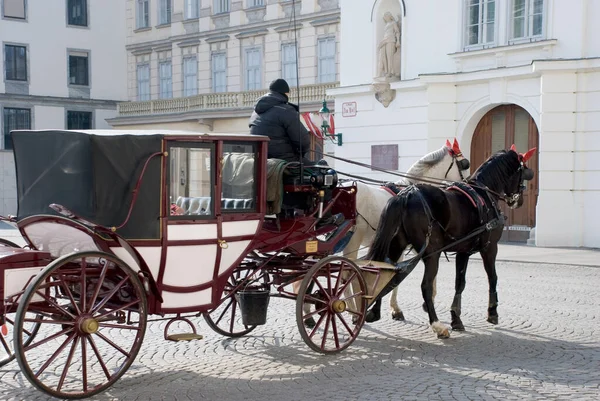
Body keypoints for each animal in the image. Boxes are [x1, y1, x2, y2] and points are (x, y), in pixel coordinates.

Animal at [302, 139, 472, 326]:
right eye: (465, 164)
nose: (468, 185)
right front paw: (404, 308)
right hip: (352, 240)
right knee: (346, 272)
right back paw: (350, 310)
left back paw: (310, 309)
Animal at [364, 145, 536, 336]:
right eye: (524, 172)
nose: (519, 201)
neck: (483, 194)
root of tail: (406, 195)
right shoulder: (490, 248)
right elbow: (493, 277)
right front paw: (492, 312)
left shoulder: (463, 251)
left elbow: (459, 283)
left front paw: (456, 317)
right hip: (432, 253)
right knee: (424, 286)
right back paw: (436, 324)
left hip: (397, 246)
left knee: (384, 272)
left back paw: (375, 312)